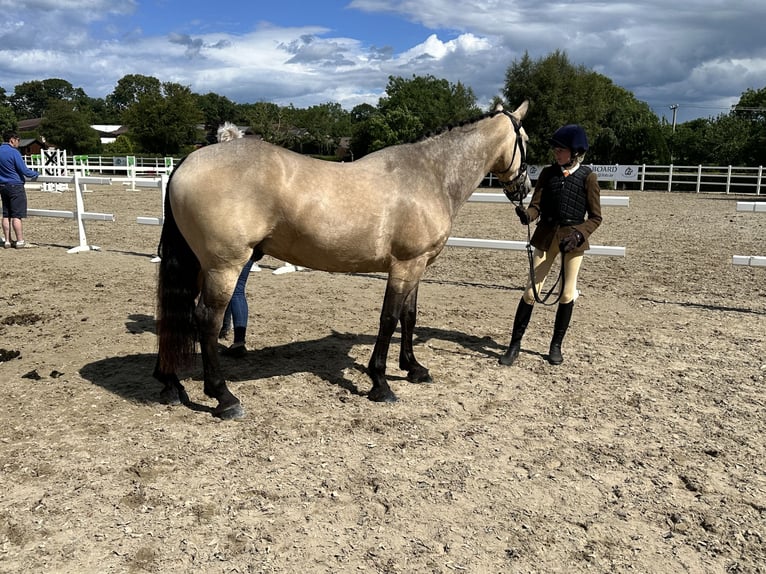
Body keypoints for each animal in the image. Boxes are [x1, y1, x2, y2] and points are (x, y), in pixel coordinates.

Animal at [153, 101, 531, 419]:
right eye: (525, 140)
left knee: (179, 315)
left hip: (199, 266)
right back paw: (224, 397)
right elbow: (389, 319)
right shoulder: (404, 265)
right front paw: (381, 383)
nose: (525, 189)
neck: (430, 174)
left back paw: (171, 384)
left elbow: (409, 317)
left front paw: (414, 368)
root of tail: (187, 163)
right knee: (206, 319)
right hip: (224, 267)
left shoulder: (418, 265)